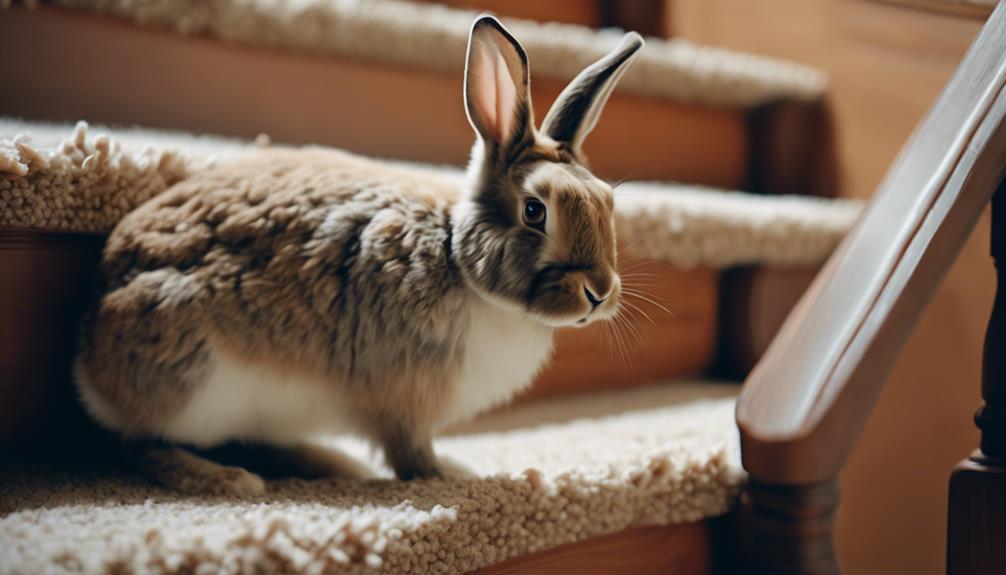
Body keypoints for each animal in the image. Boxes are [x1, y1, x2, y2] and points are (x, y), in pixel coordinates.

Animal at [74, 15, 644, 496]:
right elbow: (411, 453)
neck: (456, 258)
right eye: (534, 210)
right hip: (192, 379)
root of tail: (89, 358)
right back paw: (231, 480)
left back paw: (328, 462)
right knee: (137, 444)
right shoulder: (402, 400)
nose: (598, 293)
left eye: (607, 202)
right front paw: (451, 476)